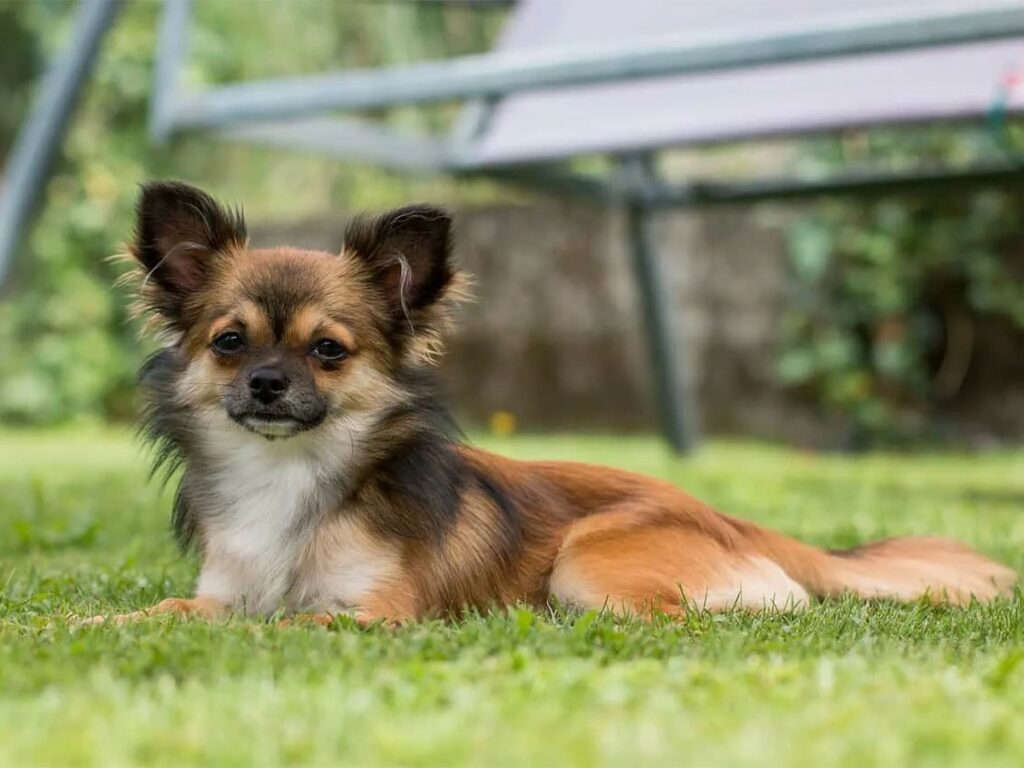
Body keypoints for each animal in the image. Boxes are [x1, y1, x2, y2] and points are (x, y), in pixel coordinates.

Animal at [86, 183, 1015, 626]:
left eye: (328, 351)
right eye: (229, 343)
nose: (267, 385)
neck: (292, 477)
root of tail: (724, 517)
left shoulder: (373, 616)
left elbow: (272, 629)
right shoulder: (220, 595)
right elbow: (160, 615)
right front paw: (75, 626)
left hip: (587, 561)